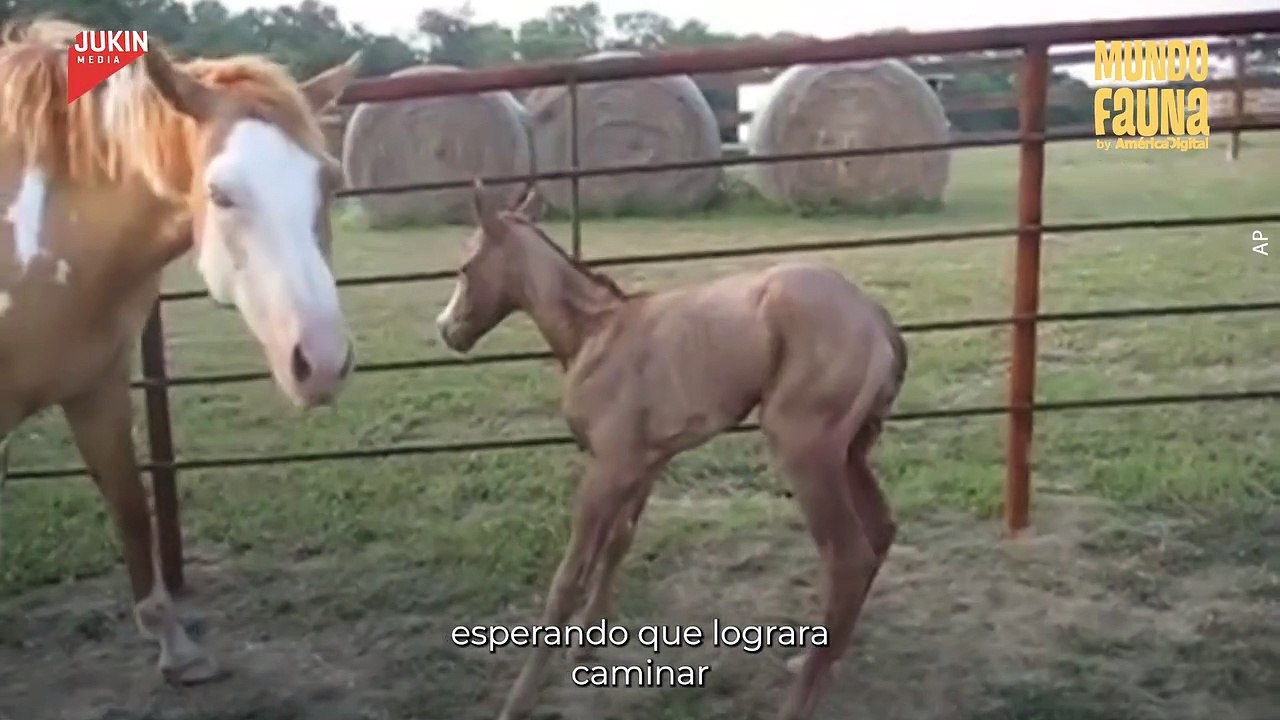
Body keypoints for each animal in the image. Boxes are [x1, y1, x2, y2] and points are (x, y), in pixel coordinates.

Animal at [0, 19, 361, 684]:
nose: (322, 363)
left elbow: (131, 506)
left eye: (329, 182)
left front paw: (174, 645)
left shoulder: (97, 389)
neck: (29, 231)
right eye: (219, 194)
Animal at [435, 181, 909, 720]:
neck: (596, 333)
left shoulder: (606, 469)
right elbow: (618, 541)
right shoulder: (644, 463)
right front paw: (587, 641)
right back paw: (820, 662)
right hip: (850, 451)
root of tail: (877, 319)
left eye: (464, 267)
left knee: (847, 557)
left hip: (806, 453)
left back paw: (797, 701)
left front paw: (518, 701)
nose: (447, 329)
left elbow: (567, 579)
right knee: (879, 532)